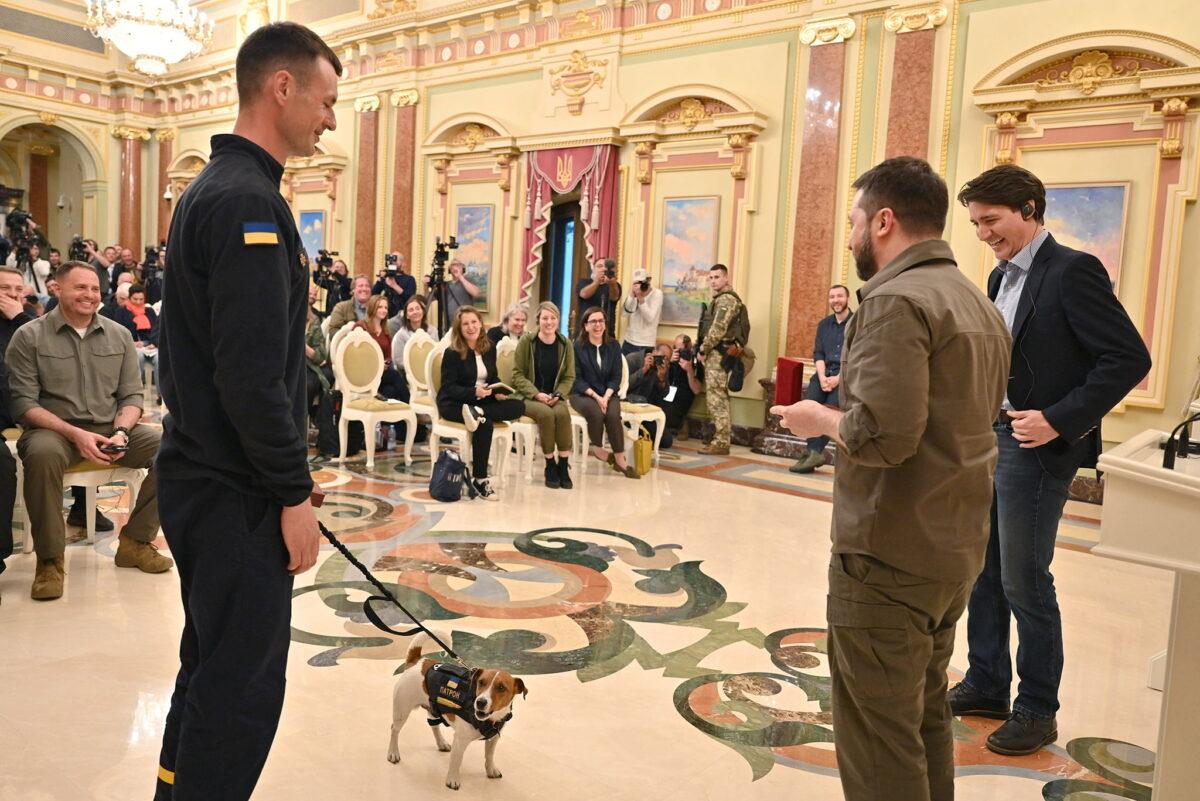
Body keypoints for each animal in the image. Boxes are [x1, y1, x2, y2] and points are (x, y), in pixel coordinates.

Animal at [388, 633, 530, 791]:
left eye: (501, 688)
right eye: (481, 682)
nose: (480, 702)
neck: (489, 720)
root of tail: (418, 661)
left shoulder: (493, 739)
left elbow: (489, 756)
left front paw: (491, 770)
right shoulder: (460, 741)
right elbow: (456, 761)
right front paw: (452, 779)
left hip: (433, 708)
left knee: (434, 726)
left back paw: (441, 743)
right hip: (402, 710)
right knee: (394, 730)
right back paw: (393, 753)